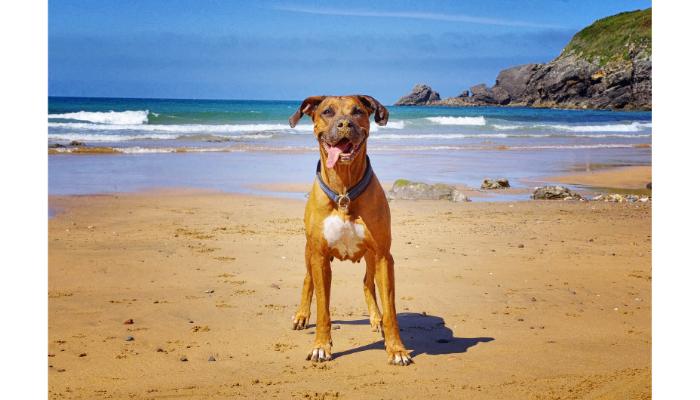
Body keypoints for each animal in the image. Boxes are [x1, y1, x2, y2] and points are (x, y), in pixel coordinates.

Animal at [288, 94, 412, 366]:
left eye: (357, 112)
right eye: (327, 112)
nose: (345, 124)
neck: (344, 189)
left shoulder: (383, 256)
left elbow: (390, 310)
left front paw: (396, 348)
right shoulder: (319, 256)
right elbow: (323, 308)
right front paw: (321, 346)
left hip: (371, 257)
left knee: (368, 283)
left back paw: (375, 317)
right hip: (308, 252)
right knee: (307, 280)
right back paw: (301, 315)